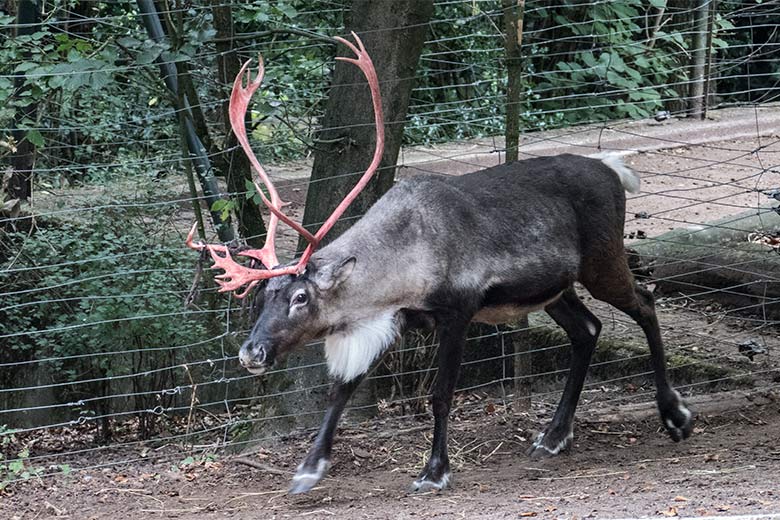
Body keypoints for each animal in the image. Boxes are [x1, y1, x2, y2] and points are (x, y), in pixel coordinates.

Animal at [187, 33, 693, 494]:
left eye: (299, 297)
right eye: (261, 296)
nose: (250, 353)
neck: (404, 260)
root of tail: (613, 169)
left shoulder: (458, 311)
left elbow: (440, 394)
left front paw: (434, 471)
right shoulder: (395, 319)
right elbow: (343, 389)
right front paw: (309, 469)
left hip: (602, 262)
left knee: (645, 303)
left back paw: (675, 415)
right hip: (555, 289)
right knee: (588, 329)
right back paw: (552, 436)